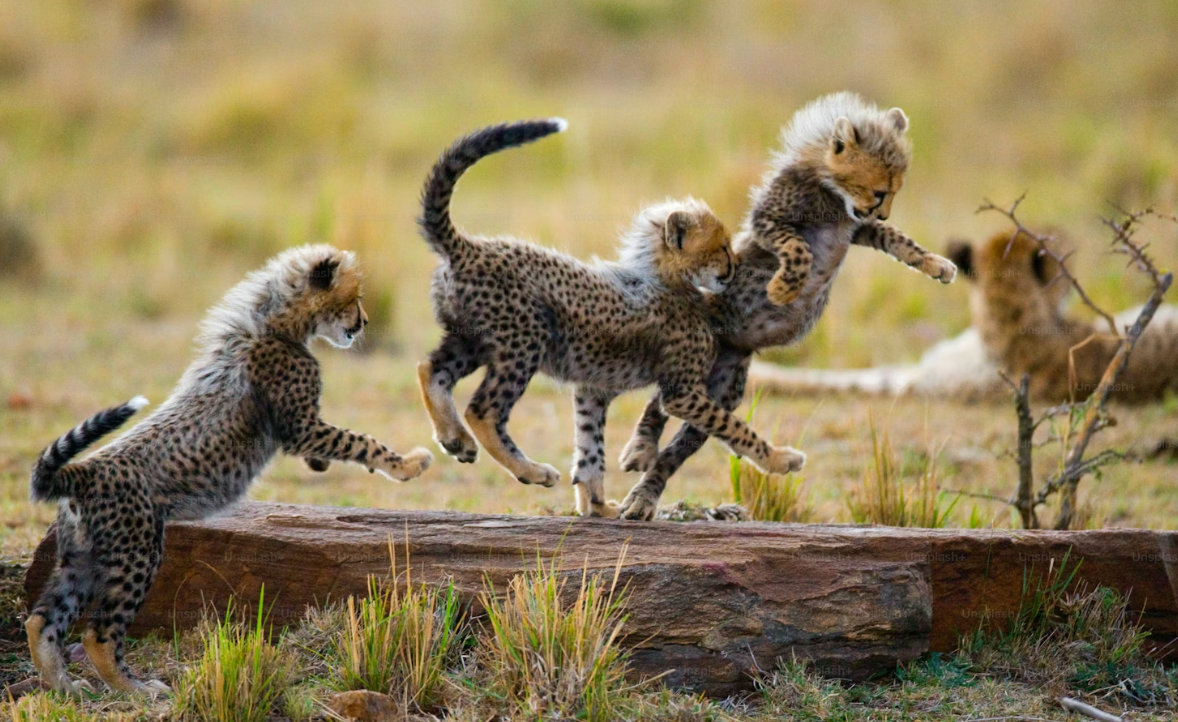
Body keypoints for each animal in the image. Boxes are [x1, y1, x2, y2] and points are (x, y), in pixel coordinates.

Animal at [24, 244, 432, 696]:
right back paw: (138, 690)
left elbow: (343, 443)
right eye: (355, 296)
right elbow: (360, 441)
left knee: (41, 619)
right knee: (98, 634)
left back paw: (63, 685)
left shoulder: (303, 427)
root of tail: (83, 470)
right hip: (137, 553)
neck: (272, 322)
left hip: (80, 558)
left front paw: (327, 463)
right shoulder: (301, 427)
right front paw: (408, 464)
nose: (364, 322)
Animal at [414, 119, 805, 517]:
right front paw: (779, 459)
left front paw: (597, 507)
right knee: (483, 410)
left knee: (431, 369)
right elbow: (733, 426)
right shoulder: (681, 392)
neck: (671, 279)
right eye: (723, 247)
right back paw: (531, 470)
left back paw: (454, 438)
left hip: (471, 339)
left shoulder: (594, 389)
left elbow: (590, 451)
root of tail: (469, 247)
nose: (735, 266)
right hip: (524, 342)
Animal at [750, 91, 955, 307]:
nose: (883, 216)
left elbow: (897, 237)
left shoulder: (858, 227)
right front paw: (782, 291)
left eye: (895, 191)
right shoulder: (764, 217)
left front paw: (936, 263)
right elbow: (797, 248)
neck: (834, 195)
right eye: (879, 193)